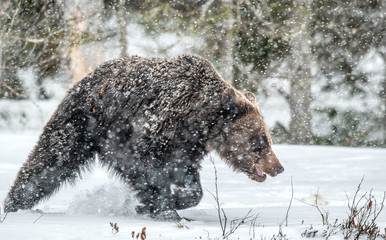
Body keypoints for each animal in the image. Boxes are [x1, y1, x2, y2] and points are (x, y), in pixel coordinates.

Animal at [3, 55, 284, 220]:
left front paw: (168, 202)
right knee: (51, 160)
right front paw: (164, 209)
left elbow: (189, 181)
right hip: (83, 123)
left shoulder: (186, 146)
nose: (279, 167)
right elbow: (147, 170)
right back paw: (13, 203)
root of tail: (85, 78)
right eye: (261, 141)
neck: (197, 121)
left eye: (268, 139)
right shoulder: (151, 132)